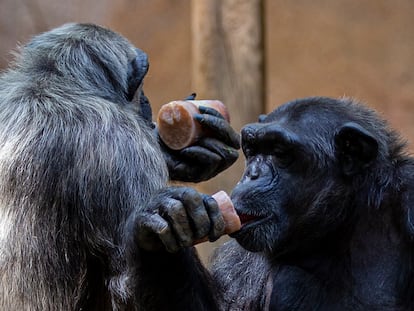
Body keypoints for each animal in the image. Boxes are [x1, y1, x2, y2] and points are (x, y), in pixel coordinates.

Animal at [133, 97, 414, 310]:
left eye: (279, 152)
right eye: (252, 150)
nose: (252, 174)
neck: (340, 228)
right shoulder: (242, 263)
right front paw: (170, 216)